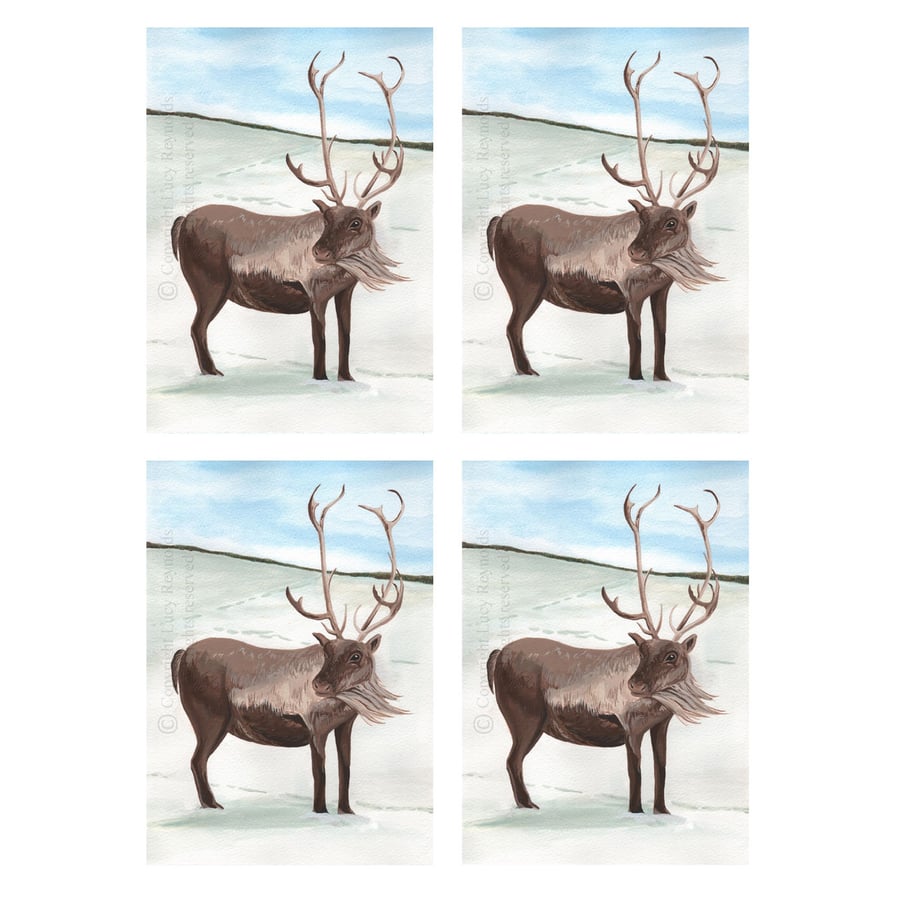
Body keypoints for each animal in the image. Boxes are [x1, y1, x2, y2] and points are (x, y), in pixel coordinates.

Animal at [170, 52, 407, 379]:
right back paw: (213, 373)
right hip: (209, 283)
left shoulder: (345, 292)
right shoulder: (313, 292)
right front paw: (320, 378)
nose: (319, 251)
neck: (343, 271)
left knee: (196, 328)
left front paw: (346, 378)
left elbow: (346, 336)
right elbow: (320, 340)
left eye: (356, 222)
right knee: (196, 327)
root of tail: (180, 222)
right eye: (326, 218)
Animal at [170, 485, 407, 813]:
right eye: (326, 651)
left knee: (196, 761)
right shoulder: (313, 725)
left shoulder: (345, 725)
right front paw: (320, 812)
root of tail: (181, 655)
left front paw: (346, 811)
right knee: (196, 760)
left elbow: (346, 769)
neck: (343, 704)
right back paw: (213, 806)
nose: (318, 684)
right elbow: (320, 773)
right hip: (210, 717)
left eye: (356, 655)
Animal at [487, 52, 723, 380]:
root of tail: (496, 222)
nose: (634, 252)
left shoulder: (661, 292)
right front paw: (636, 378)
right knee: (512, 327)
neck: (659, 271)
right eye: (642, 218)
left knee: (512, 327)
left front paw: (662, 378)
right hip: (525, 283)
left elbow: (662, 336)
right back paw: (528, 373)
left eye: (671, 222)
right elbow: (636, 339)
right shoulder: (629, 292)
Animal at [487, 485, 723, 814]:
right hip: (525, 716)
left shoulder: (661, 725)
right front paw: (636, 812)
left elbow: (662, 769)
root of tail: (496, 655)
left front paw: (662, 811)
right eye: (642, 651)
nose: (634, 685)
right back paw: (528, 806)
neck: (658, 704)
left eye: (671, 655)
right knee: (512, 760)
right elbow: (635, 772)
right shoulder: (629, 725)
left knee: (512, 761)